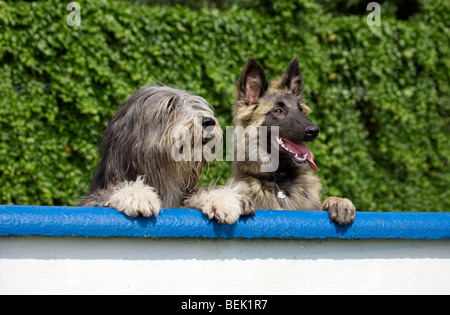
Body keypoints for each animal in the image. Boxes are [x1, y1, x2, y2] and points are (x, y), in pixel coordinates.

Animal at [81, 85, 253, 223]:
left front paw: (222, 199)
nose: (209, 121)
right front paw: (138, 194)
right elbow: (107, 193)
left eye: (197, 106)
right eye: (170, 107)